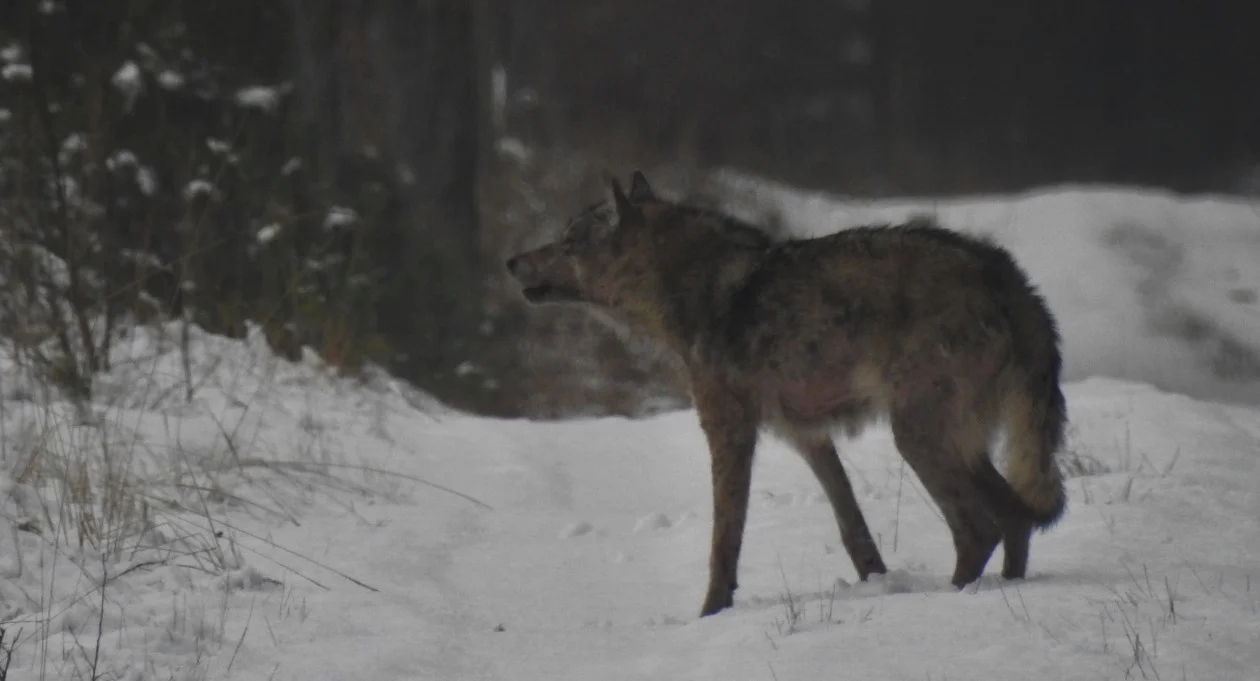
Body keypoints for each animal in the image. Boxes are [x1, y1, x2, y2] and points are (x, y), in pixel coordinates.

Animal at [506, 170, 1068, 617]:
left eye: (568, 243)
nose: (511, 262)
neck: (691, 290)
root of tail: (1005, 273)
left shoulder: (729, 431)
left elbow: (724, 541)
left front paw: (711, 614)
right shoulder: (807, 435)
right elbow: (853, 530)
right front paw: (875, 583)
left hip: (918, 437)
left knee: (979, 528)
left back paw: (953, 599)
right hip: (955, 442)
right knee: (1017, 516)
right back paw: (1007, 589)